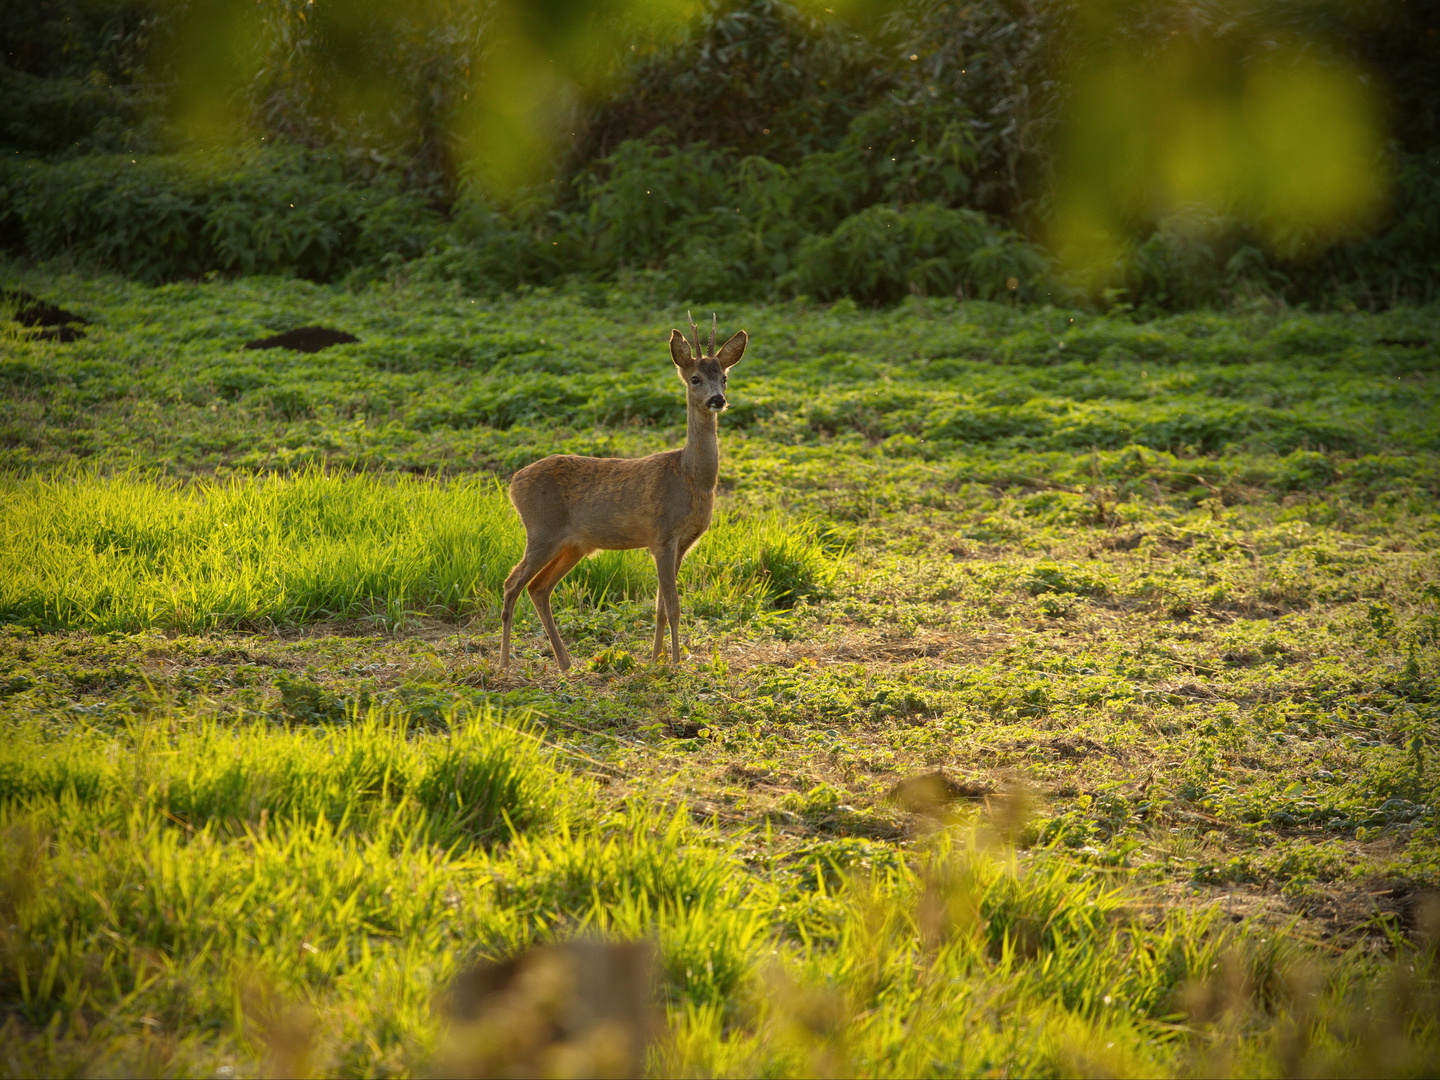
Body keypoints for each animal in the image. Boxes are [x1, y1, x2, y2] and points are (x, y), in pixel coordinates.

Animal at [501, 312, 748, 673]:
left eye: (725, 377)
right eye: (696, 378)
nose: (718, 399)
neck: (691, 477)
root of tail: (513, 483)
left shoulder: (684, 542)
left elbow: (660, 607)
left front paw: (656, 659)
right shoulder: (662, 536)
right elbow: (673, 606)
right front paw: (676, 662)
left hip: (574, 545)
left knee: (538, 588)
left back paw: (565, 662)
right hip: (541, 530)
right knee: (512, 583)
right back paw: (504, 662)